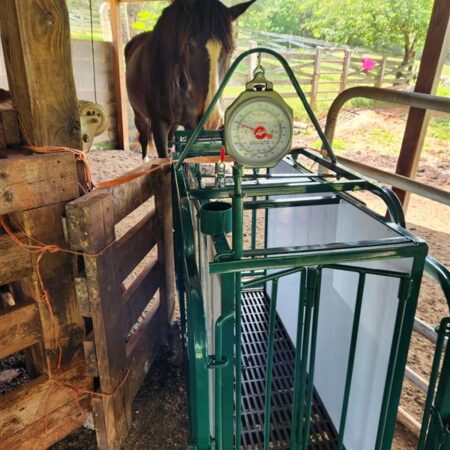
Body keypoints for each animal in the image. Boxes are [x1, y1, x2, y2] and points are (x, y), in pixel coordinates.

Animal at [125, 0, 256, 159]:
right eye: (189, 45)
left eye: (231, 50)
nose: (212, 119)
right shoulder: (158, 124)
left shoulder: (191, 125)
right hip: (139, 115)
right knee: (143, 136)